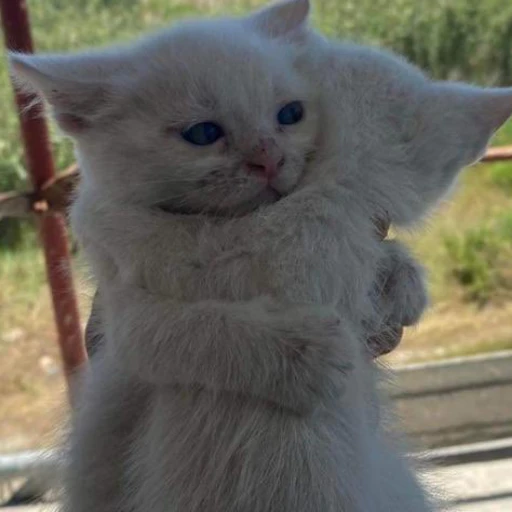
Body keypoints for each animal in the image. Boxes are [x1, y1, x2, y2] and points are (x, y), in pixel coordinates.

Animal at [10, 0, 512, 510]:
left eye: (290, 113)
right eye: (203, 133)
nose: (269, 158)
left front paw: (402, 280)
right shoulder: (129, 311)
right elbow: (197, 329)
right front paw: (307, 355)